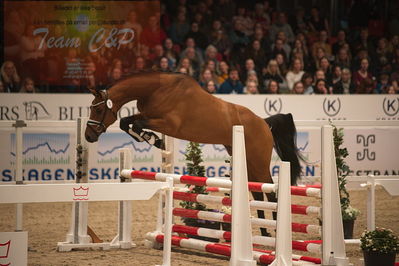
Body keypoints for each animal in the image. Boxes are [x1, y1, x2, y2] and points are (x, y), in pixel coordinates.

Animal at [85, 71, 304, 236]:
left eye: (98, 110)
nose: (88, 136)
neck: (157, 90)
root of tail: (264, 123)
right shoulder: (147, 115)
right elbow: (126, 122)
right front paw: (151, 139)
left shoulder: (168, 124)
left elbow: (137, 124)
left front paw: (154, 139)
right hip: (245, 158)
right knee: (258, 191)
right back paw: (264, 232)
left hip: (258, 162)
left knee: (271, 192)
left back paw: (274, 233)